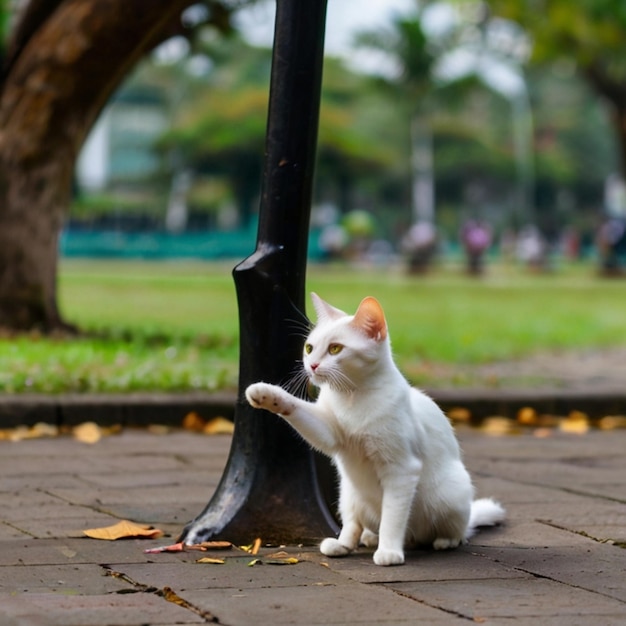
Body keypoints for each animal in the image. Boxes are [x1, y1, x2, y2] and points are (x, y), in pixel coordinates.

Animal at [244, 294, 502, 564]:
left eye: (335, 349)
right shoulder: (330, 433)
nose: (312, 365)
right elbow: (297, 408)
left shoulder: (401, 470)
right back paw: (346, 543)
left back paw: (443, 541)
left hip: (449, 494)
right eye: (309, 348)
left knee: (458, 530)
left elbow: (393, 516)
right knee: (353, 524)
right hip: (348, 494)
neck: (352, 395)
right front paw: (266, 394)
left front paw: (389, 551)